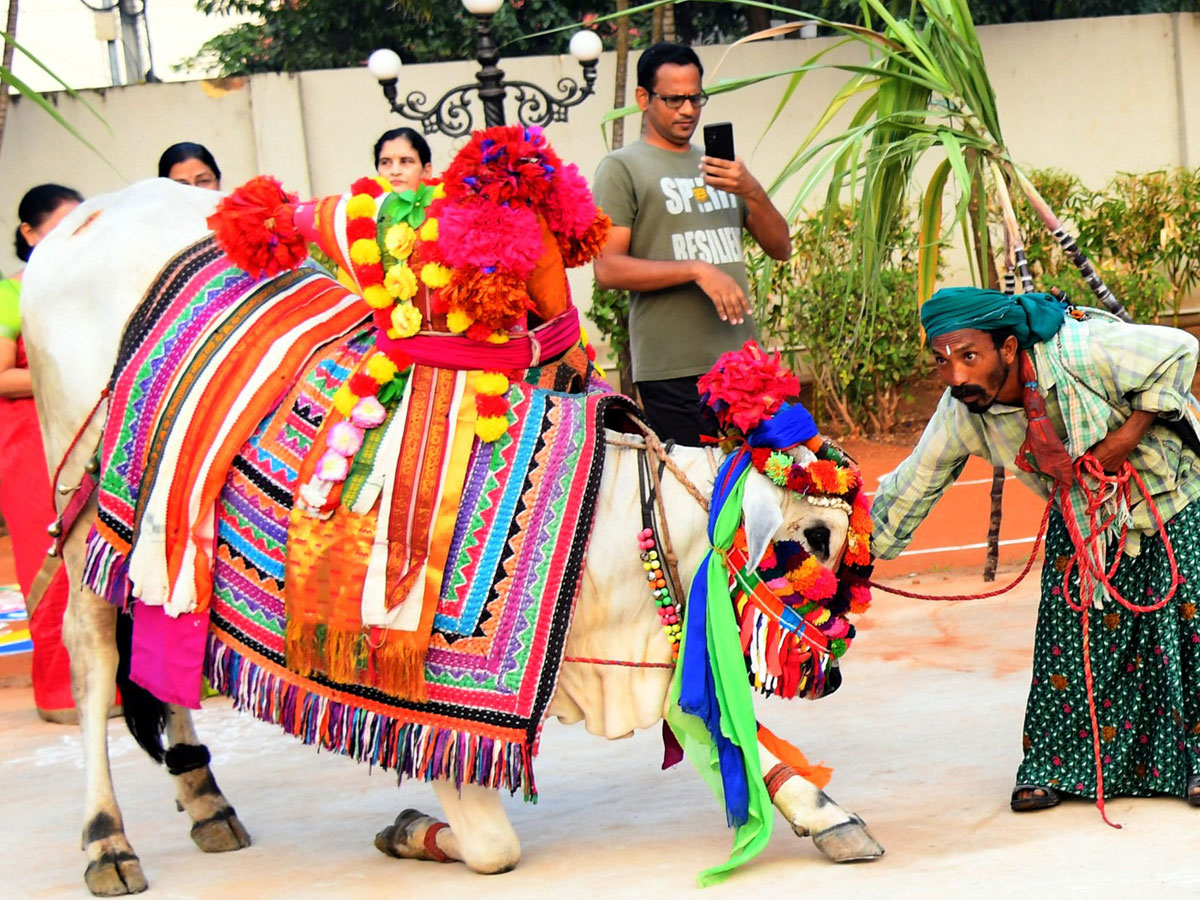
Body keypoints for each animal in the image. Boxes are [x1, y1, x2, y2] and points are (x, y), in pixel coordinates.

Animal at [18, 125, 883, 897]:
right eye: (814, 544)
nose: (836, 674)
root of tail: (94, 213)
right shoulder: (427, 707)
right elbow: (493, 846)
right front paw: (408, 829)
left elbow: (736, 733)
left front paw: (823, 811)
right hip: (84, 505)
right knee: (94, 650)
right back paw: (107, 841)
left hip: (163, 538)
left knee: (159, 640)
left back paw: (205, 800)